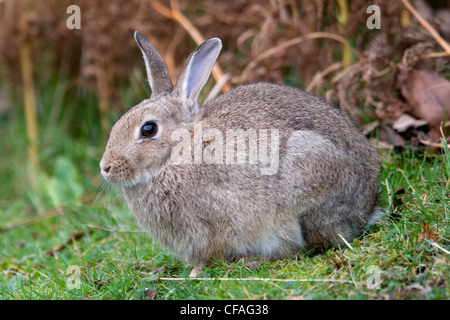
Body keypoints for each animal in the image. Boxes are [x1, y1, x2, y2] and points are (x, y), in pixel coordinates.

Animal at [99, 30, 384, 278]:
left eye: (148, 129)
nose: (106, 167)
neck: (178, 152)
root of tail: (366, 207)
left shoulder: (213, 224)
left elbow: (209, 254)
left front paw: (194, 274)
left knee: (303, 247)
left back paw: (253, 261)